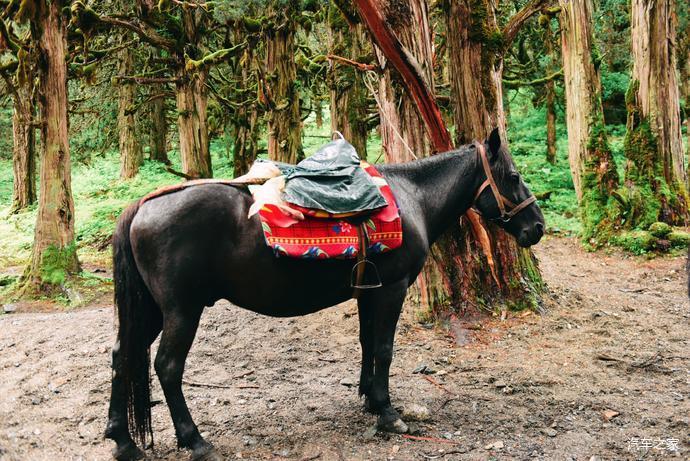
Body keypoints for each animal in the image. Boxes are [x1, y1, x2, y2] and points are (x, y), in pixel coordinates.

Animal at [103, 127, 544, 458]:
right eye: (514, 176)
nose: (536, 227)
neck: (411, 197)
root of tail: (142, 206)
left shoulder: (369, 291)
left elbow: (367, 343)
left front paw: (369, 398)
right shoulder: (392, 289)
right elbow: (384, 348)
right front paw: (388, 413)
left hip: (152, 311)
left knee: (123, 356)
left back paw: (123, 441)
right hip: (182, 311)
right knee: (167, 366)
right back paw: (194, 440)